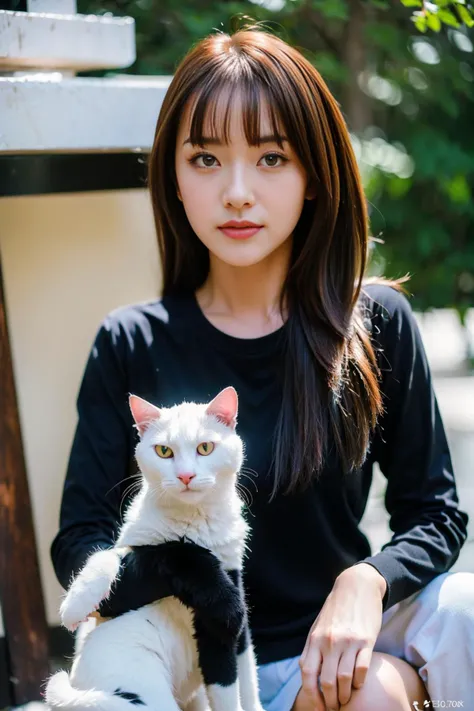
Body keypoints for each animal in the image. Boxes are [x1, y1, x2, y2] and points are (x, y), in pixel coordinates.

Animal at [45, 390, 264, 711]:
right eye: (163, 451)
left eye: (205, 448)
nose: (185, 476)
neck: (192, 521)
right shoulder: (137, 551)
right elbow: (107, 557)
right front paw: (75, 604)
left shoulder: (230, 600)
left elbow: (239, 683)